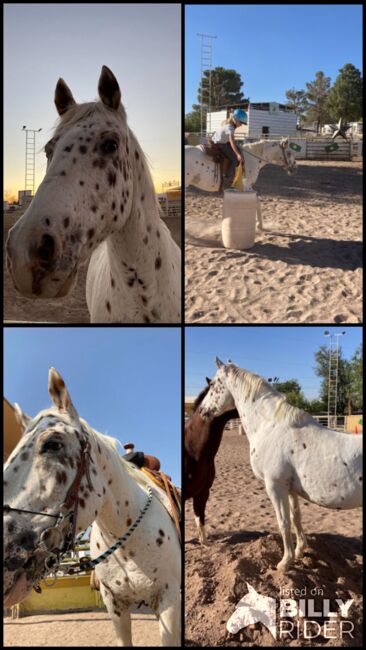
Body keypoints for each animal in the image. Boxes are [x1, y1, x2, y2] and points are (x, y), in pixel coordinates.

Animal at [197, 356, 364, 568]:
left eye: (212, 384)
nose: (202, 411)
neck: (270, 426)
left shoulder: (275, 486)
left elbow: (283, 522)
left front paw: (285, 562)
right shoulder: (290, 489)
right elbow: (295, 518)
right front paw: (299, 551)